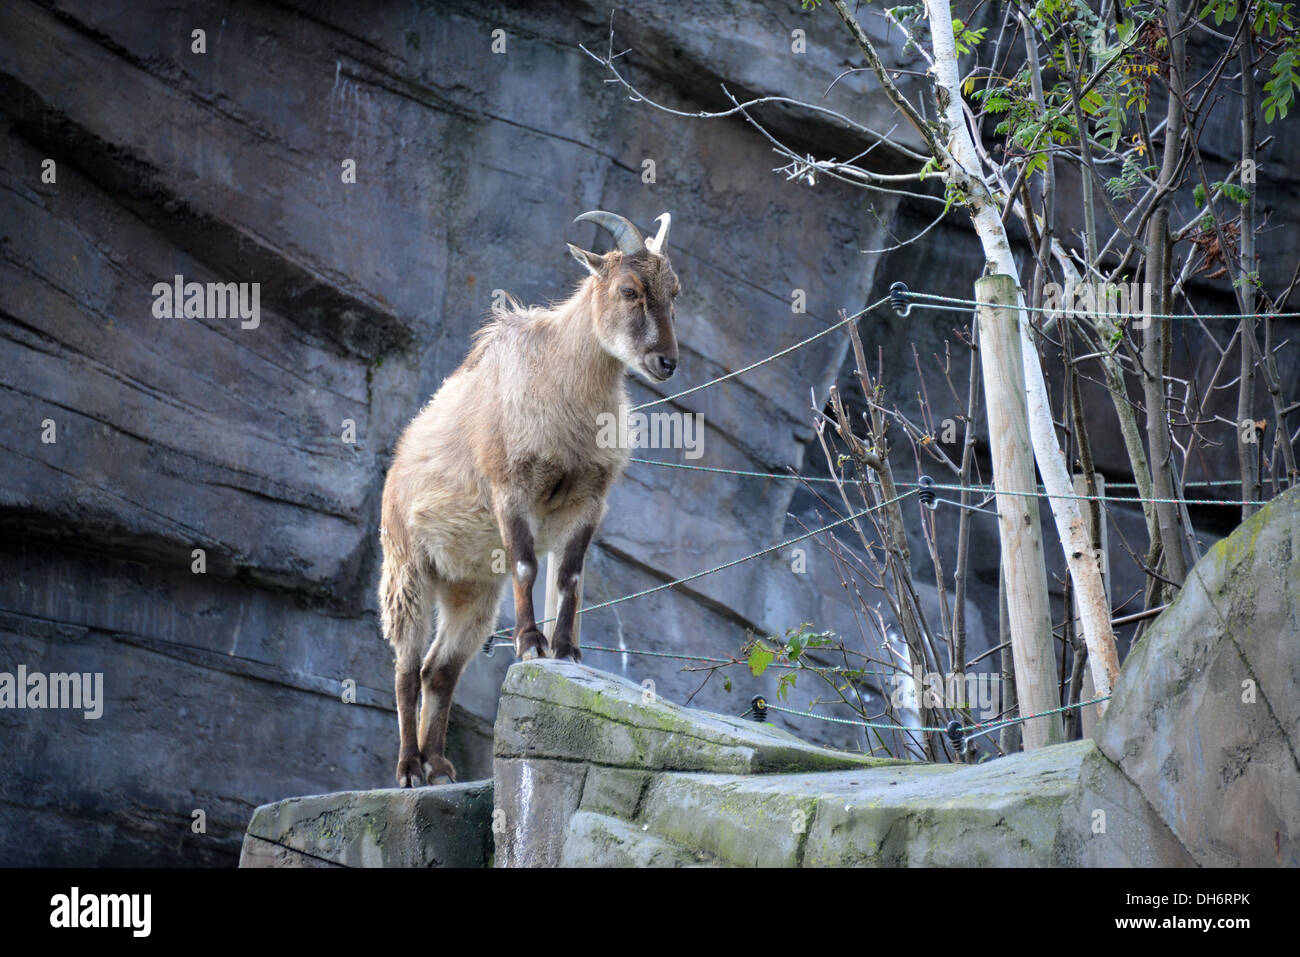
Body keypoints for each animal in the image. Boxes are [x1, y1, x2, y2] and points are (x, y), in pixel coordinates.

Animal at [377, 209, 681, 785]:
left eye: (675, 291)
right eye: (630, 289)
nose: (666, 361)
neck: (562, 379)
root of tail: (396, 466)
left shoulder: (587, 501)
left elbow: (569, 577)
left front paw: (566, 649)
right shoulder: (510, 489)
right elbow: (525, 565)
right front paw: (530, 644)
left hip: (471, 591)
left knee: (439, 669)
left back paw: (439, 766)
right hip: (407, 570)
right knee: (406, 667)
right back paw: (408, 769)